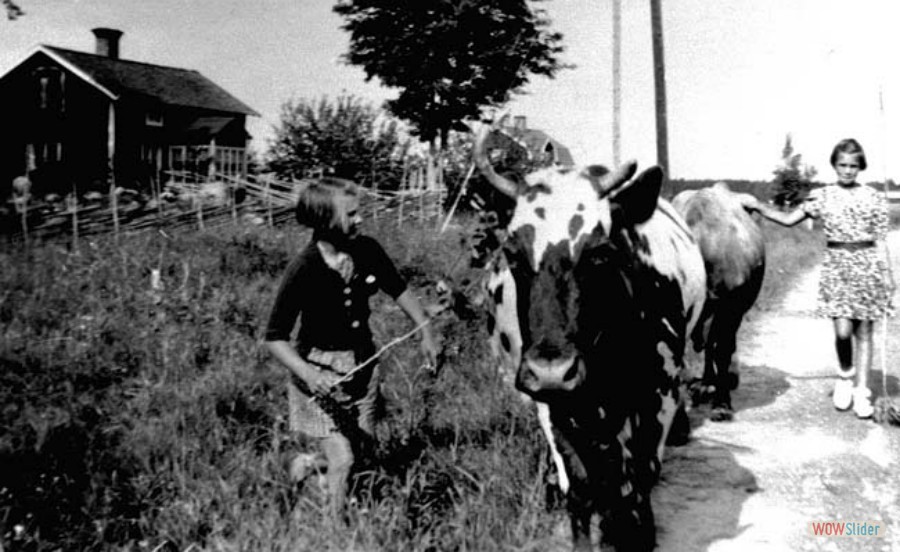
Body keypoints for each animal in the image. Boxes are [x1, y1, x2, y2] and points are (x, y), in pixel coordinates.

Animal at [474, 125, 708, 552]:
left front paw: (638, 531)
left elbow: (639, 479)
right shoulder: (553, 403)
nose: (552, 369)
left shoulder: (659, 391)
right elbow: (580, 486)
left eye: (599, 252)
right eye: (513, 254)